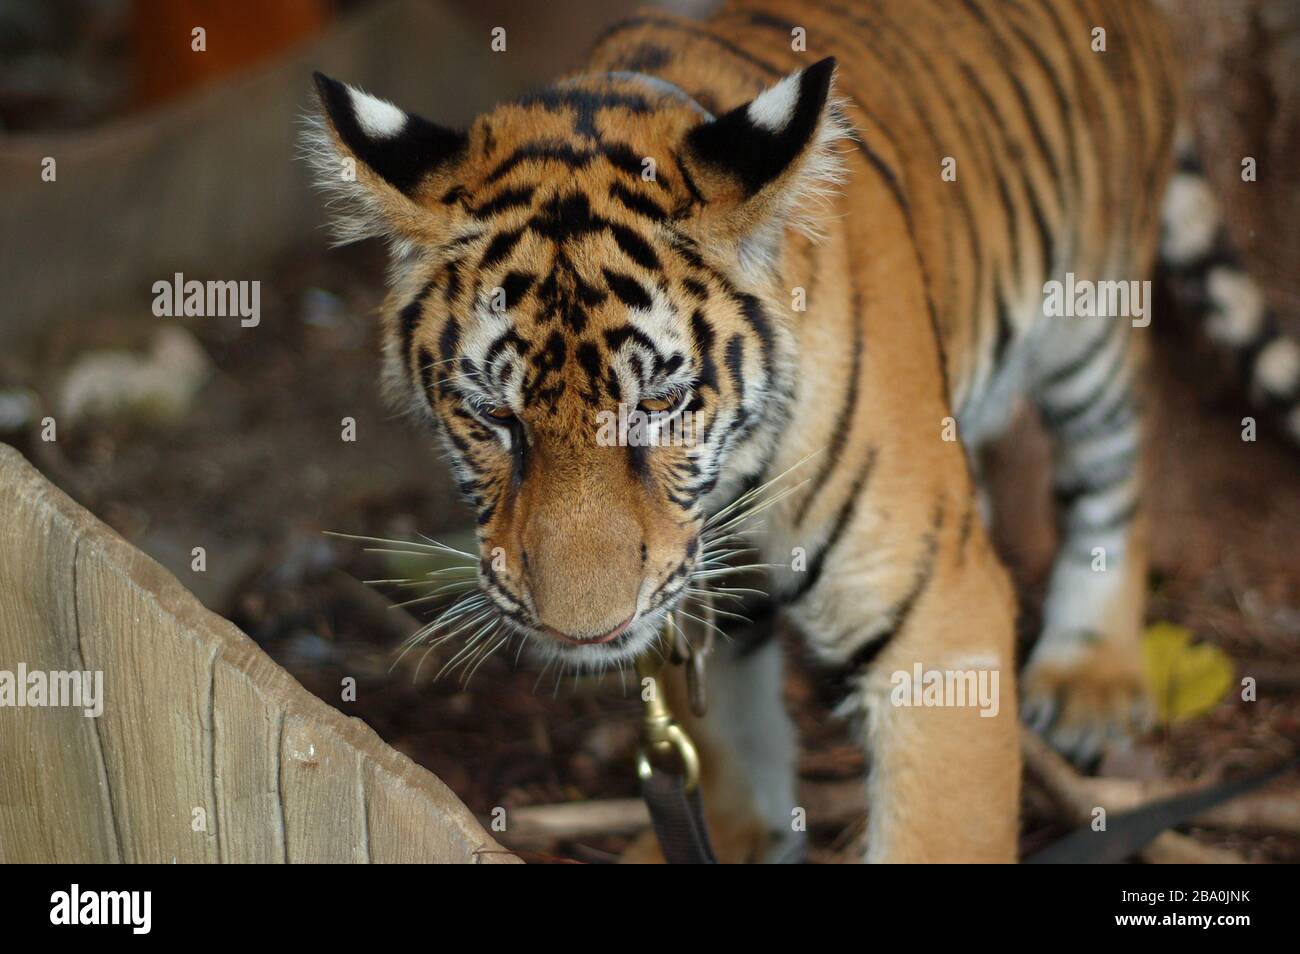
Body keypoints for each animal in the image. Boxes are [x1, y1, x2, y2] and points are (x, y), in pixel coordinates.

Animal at [304, 0, 1300, 868]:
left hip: (1089, 315)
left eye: (661, 406)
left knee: (1117, 463)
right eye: (494, 418)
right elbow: (723, 728)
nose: (586, 633)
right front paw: (735, 834)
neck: (732, 481)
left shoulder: (936, 620)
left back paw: (1092, 670)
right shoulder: (691, 590)